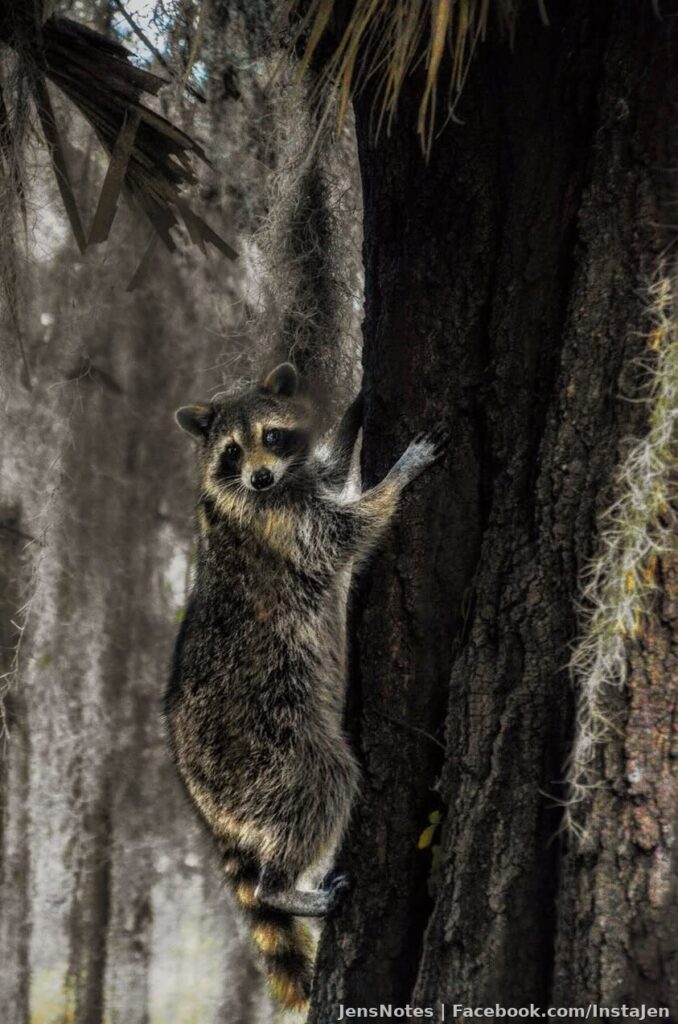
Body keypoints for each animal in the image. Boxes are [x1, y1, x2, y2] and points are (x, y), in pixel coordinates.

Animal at [165, 363, 449, 1011]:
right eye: (232, 451)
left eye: (270, 436)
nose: (260, 476)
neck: (271, 485)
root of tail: (197, 786)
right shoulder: (278, 523)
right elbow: (347, 530)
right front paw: (397, 476)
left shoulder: (292, 485)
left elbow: (331, 471)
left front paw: (350, 420)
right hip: (269, 750)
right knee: (321, 786)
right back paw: (282, 886)